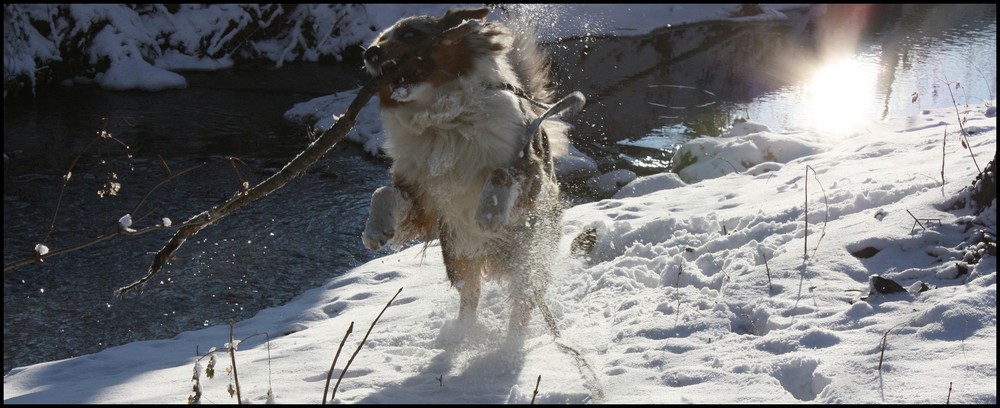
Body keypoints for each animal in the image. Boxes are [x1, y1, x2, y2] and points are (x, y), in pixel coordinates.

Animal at [364, 6, 576, 334]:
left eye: (410, 34)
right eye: (377, 40)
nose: (370, 53)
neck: (443, 121)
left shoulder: (529, 168)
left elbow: (501, 173)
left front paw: (489, 212)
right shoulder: (422, 198)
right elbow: (383, 190)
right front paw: (375, 229)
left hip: (529, 255)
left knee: (522, 304)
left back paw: (512, 342)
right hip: (458, 253)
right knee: (470, 296)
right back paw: (463, 335)